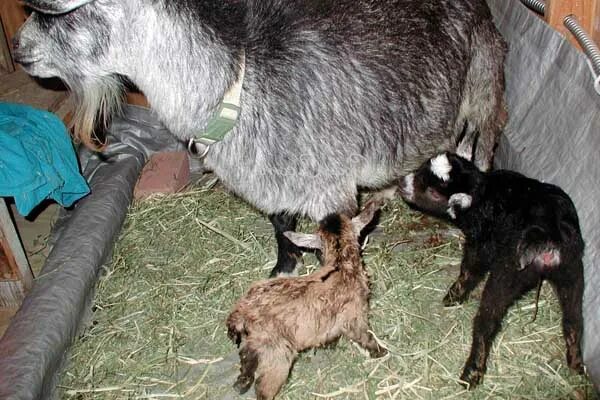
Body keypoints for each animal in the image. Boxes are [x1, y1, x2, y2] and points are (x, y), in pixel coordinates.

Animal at [12, 0, 506, 276]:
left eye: (59, 14)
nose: (17, 48)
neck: (238, 81)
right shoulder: (274, 176)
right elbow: (281, 225)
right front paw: (284, 268)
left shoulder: (331, 187)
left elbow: (336, 244)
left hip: (483, 96)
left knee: (477, 154)